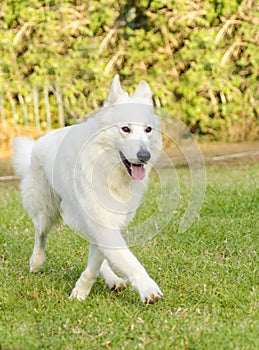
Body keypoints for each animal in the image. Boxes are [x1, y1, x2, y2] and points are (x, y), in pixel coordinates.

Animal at [13, 74, 164, 304]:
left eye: (148, 130)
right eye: (125, 129)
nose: (144, 156)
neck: (111, 172)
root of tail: (36, 144)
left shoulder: (106, 223)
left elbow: (97, 262)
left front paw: (81, 291)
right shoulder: (101, 223)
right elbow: (129, 260)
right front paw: (148, 288)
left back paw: (113, 280)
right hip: (46, 211)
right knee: (40, 234)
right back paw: (36, 262)